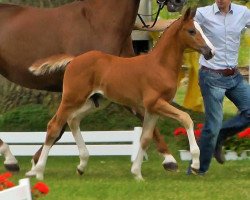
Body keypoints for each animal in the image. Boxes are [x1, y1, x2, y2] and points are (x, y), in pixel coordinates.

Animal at [0, 0, 186, 172]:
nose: (179, 3)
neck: (99, 22)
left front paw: (169, 160)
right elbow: (61, 125)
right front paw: (36, 163)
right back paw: (10, 159)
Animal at [26, 7, 215, 180]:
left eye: (202, 29)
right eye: (191, 31)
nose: (210, 52)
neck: (160, 65)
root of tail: (74, 59)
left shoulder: (152, 109)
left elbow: (145, 138)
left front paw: (137, 173)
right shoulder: (155, 103)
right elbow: (186, 118)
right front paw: (196, 163)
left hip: (96, 101)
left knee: (73, 120)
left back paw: (81, 165)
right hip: (71, 98)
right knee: (54, 126)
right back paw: (39, 172)